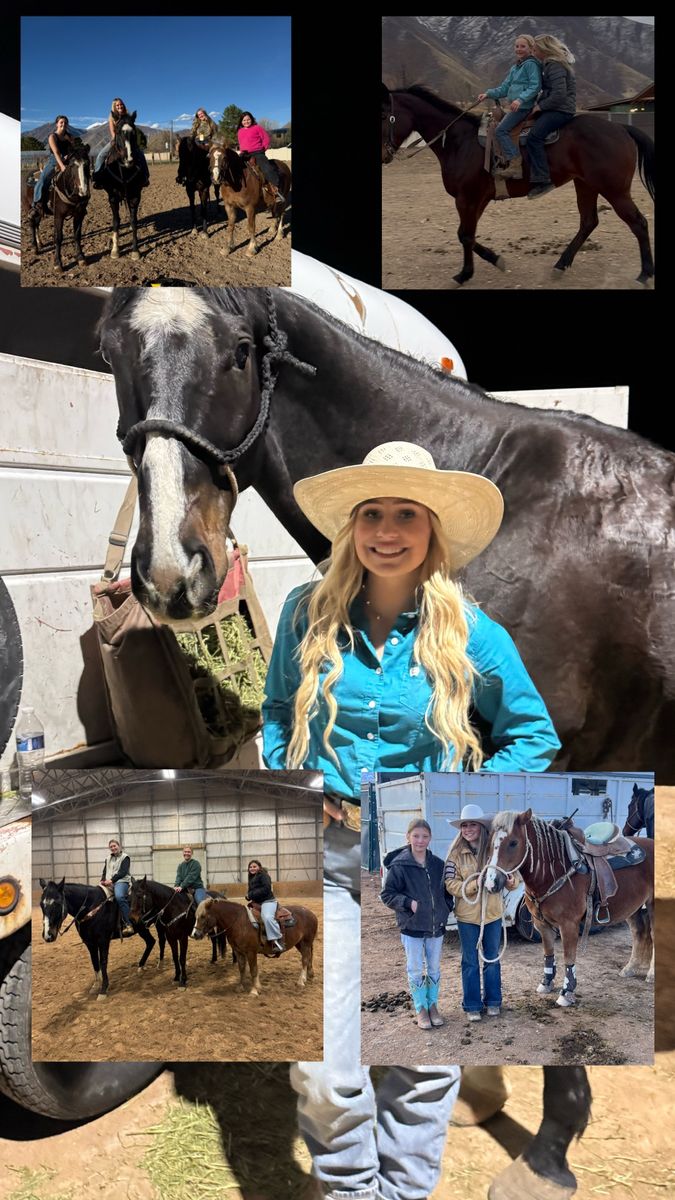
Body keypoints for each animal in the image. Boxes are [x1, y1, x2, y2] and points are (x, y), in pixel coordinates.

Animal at [27, 143, 91, 273]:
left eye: (87, 163)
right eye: (72, 165)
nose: (84, 191)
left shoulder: (79, 214)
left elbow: (77, 235)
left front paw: (81, 258)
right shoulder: (58, 215)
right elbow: (58, 237)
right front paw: (58, 264)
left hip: (40, 211)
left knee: (36, 223)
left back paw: (39, 243)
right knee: (32, 223)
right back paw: (34, 247)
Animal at [96, 111, 144, 260]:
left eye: (134, 131)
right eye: (118, 131)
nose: (129, 159)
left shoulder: (135, 195)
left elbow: (134, 221)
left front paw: (135, 250)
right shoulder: (113, 197)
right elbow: (116, 221)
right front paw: (115, 250)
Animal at [382, 83, 655, 287]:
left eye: (383, 116)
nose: (383, 155)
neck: (460, 142)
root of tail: (620, 128)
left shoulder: (466, 198)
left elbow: (466, 236)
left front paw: (466, 273)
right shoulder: (477, 200)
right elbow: (465, 234)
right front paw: (491, 261)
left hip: (615, 190)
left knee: (638, 223)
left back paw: (644, 274)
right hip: (586, 185)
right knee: (589, 222)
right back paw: (560, 265)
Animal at [484, 810, 654, 1008]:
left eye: (513, 843)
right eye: (490, 843)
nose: (491, 883)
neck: (552, 873)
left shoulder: (568, 925)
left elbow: (568, 958)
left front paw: (567, 992)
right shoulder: (541, 924)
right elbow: (548, 954)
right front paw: (546, 983)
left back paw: (651, 973)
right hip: (633, 909)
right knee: (638, 934)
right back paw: (630, 968)